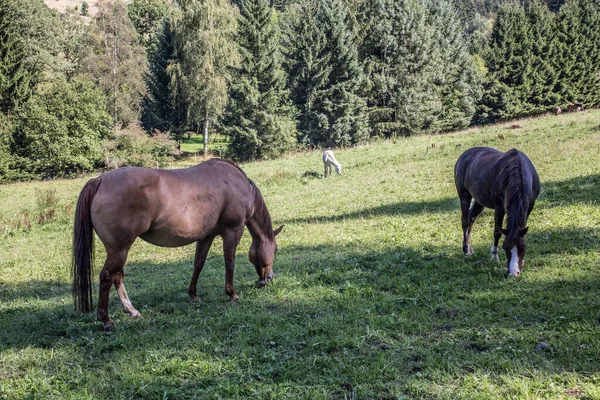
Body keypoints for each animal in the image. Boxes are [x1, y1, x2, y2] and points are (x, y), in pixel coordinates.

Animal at [71, 158, 284, 330]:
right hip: (119, 249)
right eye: (275, 250)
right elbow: (229, 262)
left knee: (117, 277)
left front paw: (193, 295)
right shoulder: (233, 231)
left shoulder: (206, 236)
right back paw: (106, 320)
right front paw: (232, 295)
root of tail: (100, 180)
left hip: (119, 250)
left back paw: (131, 311)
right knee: (108, 277)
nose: (269, 278)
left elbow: (198, 264)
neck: (237, 182)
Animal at [454, 148, 540, 278]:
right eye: (505, 248)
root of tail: (464, 155)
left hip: (479, 201)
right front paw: (494, 256)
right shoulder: (499, 208)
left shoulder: (530, 206)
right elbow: (497, 232)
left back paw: (469, 247)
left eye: (522, 248)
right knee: (464, 221)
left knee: (471, 219)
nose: (513, 273)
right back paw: (466, 250)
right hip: (464, 195)